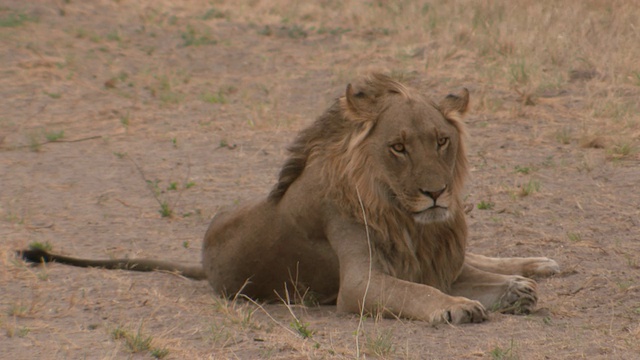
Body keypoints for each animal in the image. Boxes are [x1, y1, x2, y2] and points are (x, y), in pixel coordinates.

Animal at [20, 72, 560, 324]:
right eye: (399, 147)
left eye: (442, 141)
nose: (436, 193)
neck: (405, 218)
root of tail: (203, 262)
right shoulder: (359, 286)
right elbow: (421, 292)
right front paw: (461, 306)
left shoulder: (434, 259)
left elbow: (472, 274)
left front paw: (513, 289)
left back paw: (538, 266)